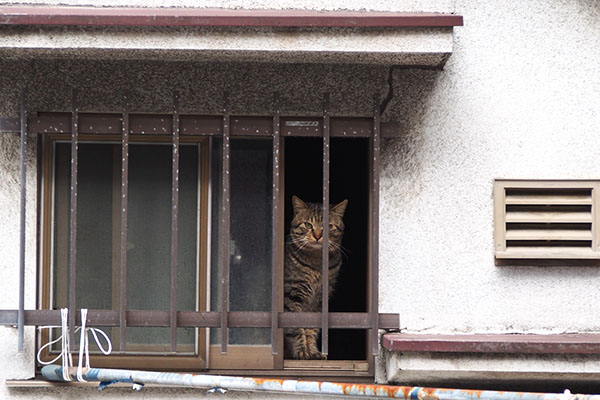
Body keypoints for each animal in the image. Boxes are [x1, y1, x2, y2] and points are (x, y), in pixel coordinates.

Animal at [284, 194, 350, 360]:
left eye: (329, 226)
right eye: (308, 225)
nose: (318, 235)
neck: (317, 263)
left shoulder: (319, 301)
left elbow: (311, 329)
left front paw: (313, 351)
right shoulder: (291, 294)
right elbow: (296, 328)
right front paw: (302, 351)